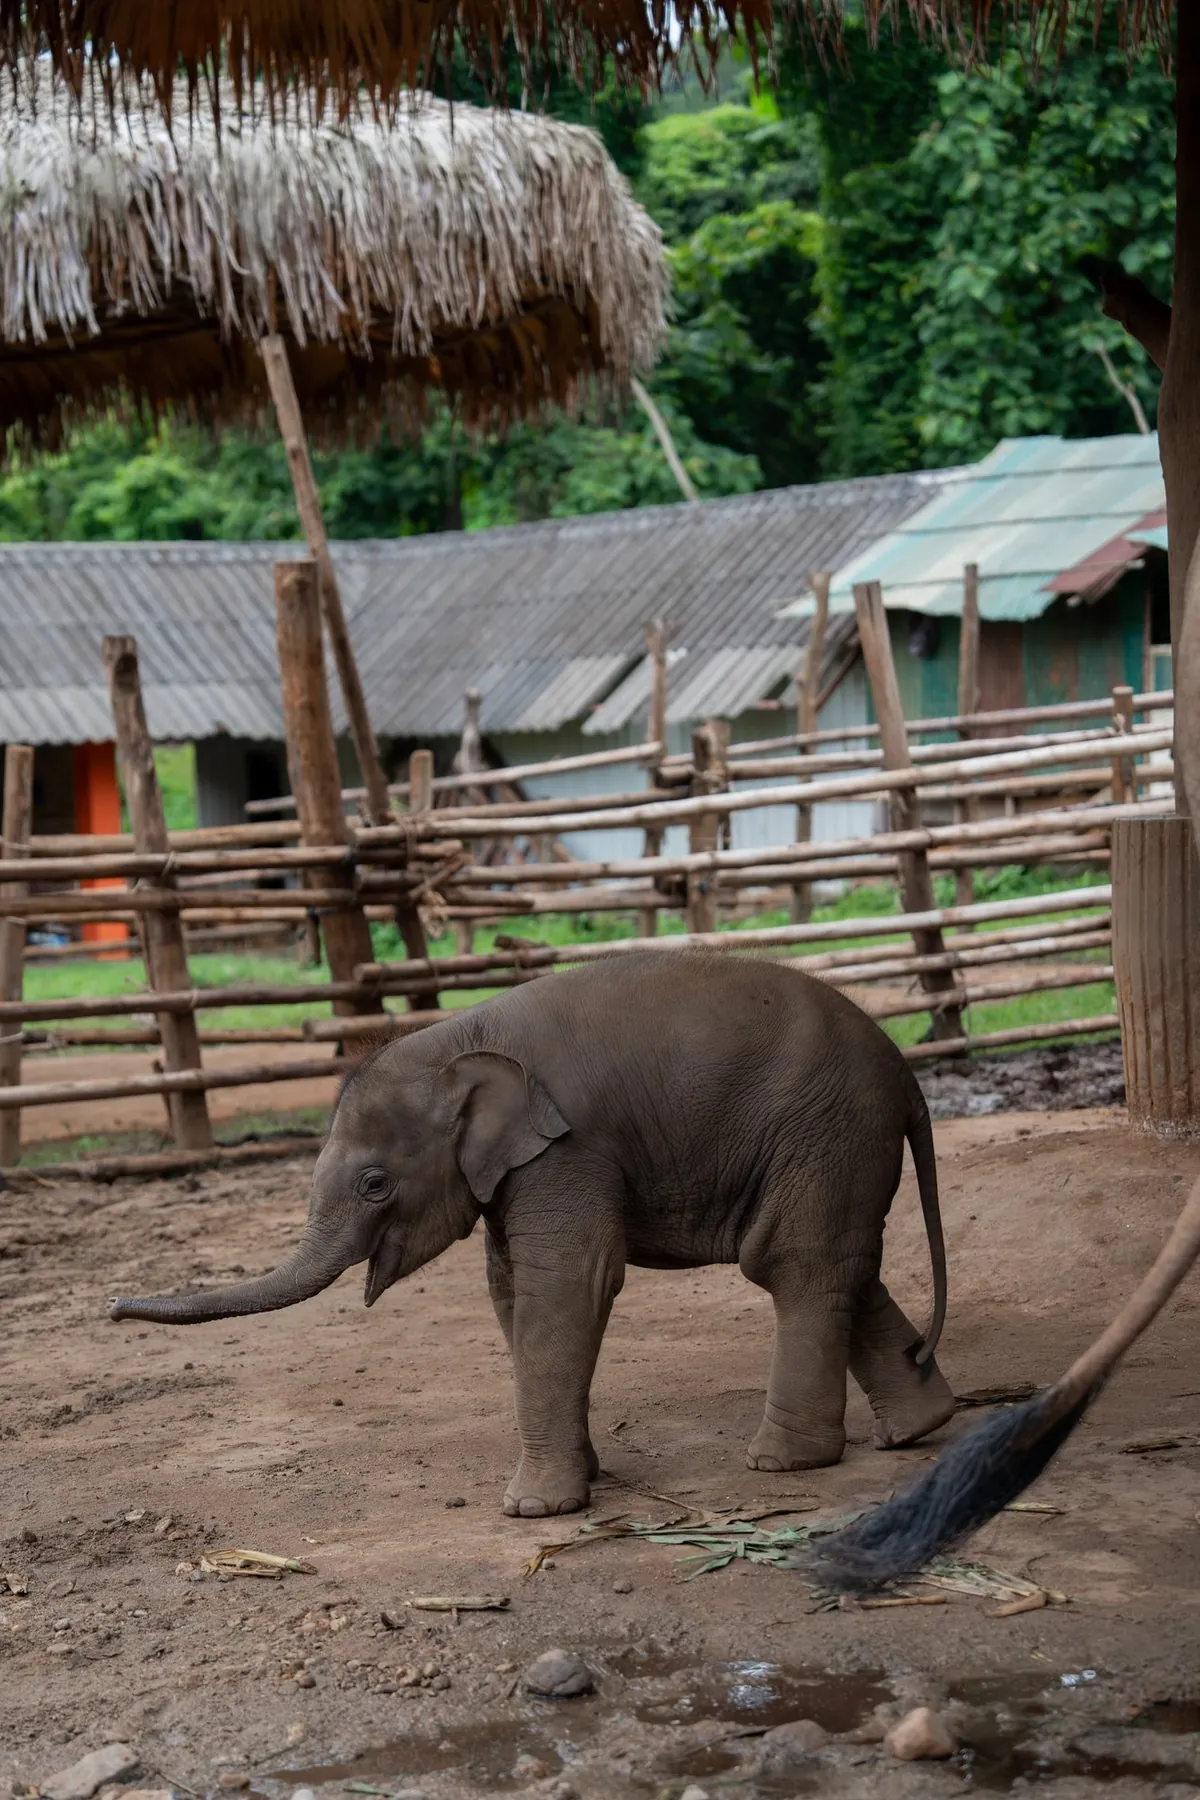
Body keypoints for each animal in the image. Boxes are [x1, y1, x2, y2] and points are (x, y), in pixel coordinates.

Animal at [110, 952, 956, 1518]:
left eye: (375, 1184)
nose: (113, 1306)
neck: (456, 1039)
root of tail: (906, 1074)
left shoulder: (567, 1150)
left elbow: (571, 1283)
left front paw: (533, 1511)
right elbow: (509, 1291)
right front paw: (586, 1477)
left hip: (826, 1129)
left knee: (792, 1263)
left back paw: (781, 1464)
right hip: (830, 1144)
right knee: (840, 1265)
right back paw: (919, 1428)